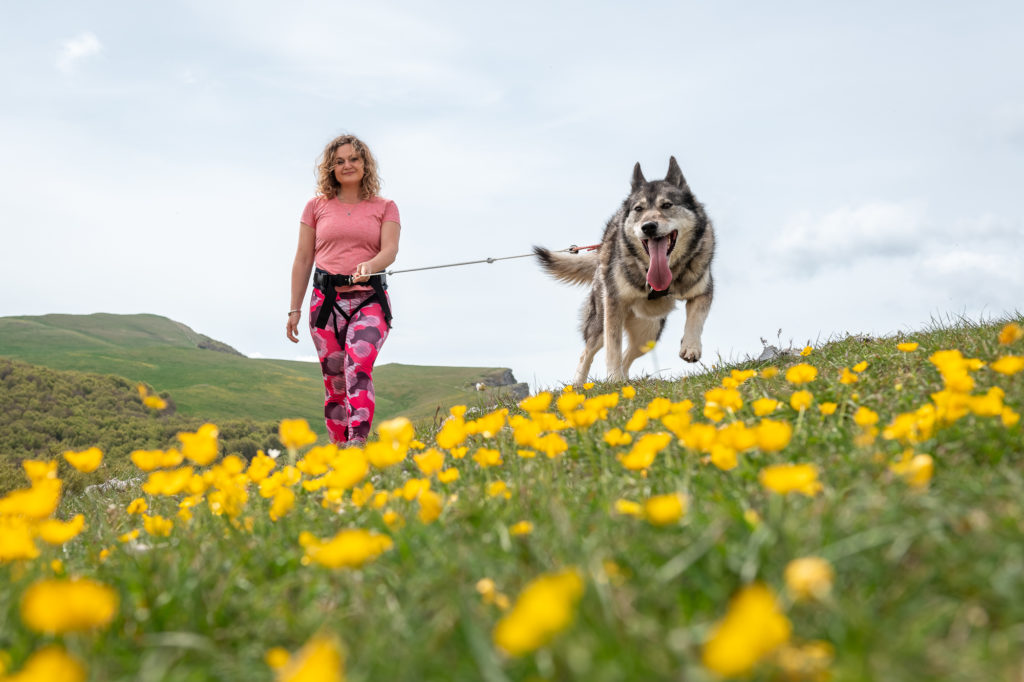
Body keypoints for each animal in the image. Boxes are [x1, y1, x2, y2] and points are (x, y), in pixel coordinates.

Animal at [532, 155, 716, 385]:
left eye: (667, 205)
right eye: (638, 209)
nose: (648, 226)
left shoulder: (703, 290)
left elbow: (697, 319)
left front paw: (691, 347)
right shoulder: (613, 305)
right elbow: (613, 347)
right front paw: (613, 378)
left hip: (648, 333)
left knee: (628, 354)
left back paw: (626, 380)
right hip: (601, 322)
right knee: (588, 352)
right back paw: (579, 385)